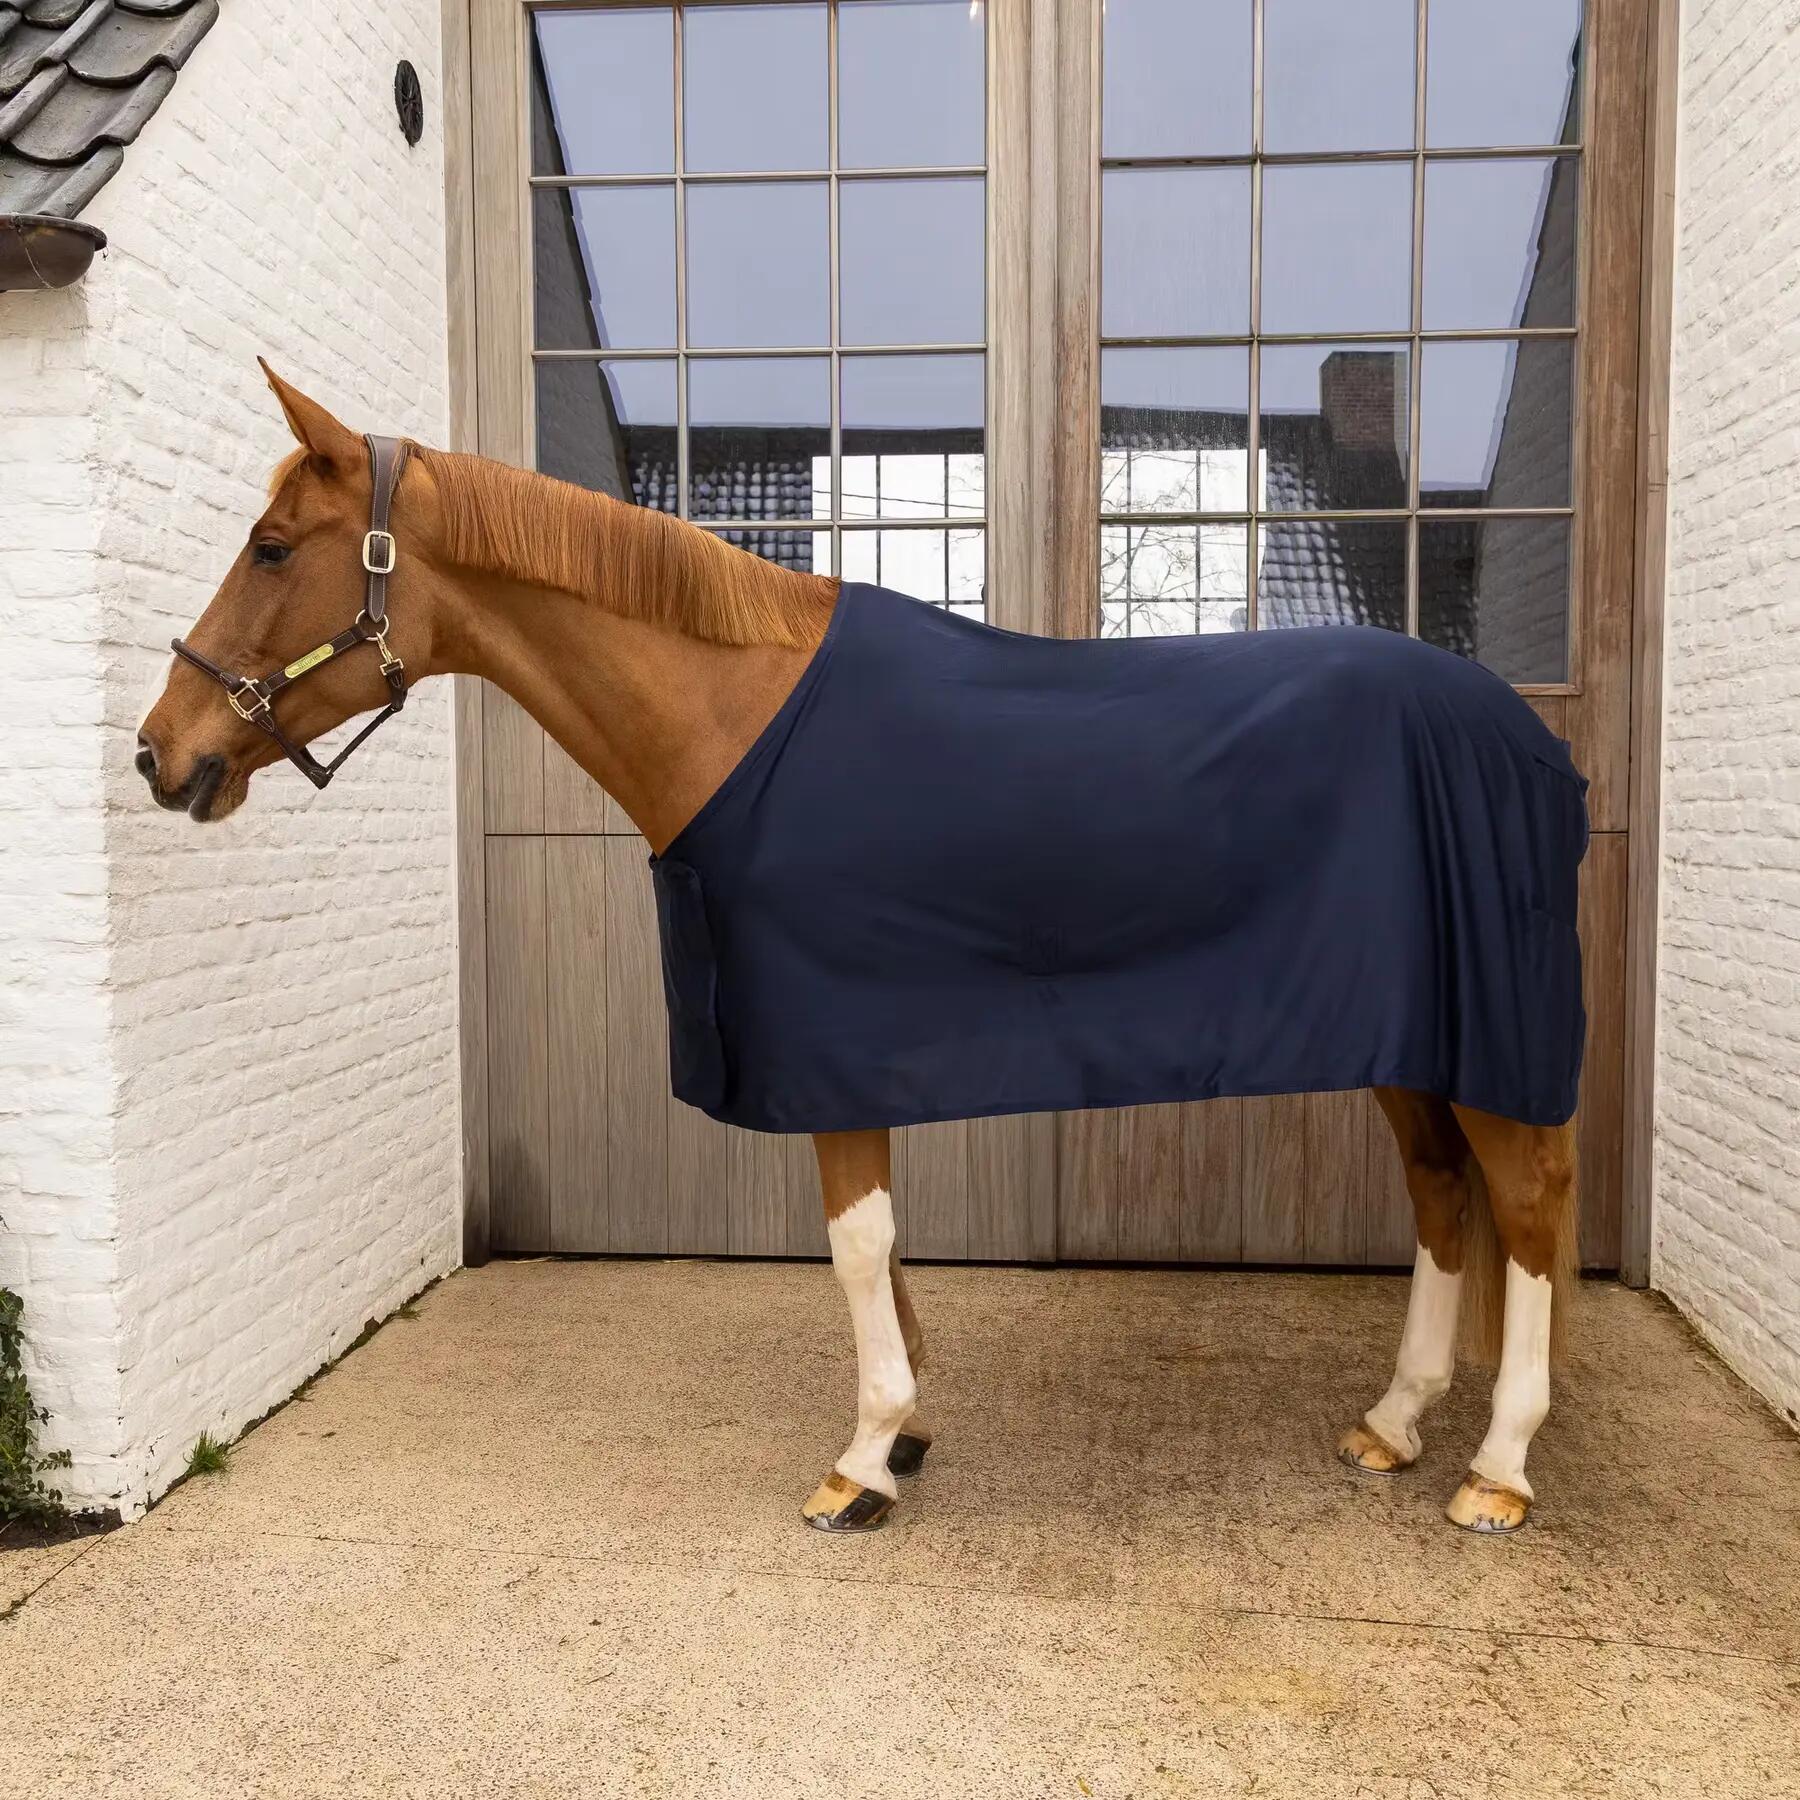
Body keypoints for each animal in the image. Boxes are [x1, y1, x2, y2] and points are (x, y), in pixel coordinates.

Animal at [137, 364, 1582, 1537]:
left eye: (272, 548)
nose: (160, 754)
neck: (740, 717)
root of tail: (1522, 738)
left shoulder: (830, 1046)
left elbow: (851, 1243)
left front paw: (862, 1460)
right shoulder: (849, 1055)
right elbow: (882, 1246)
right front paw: (912, 1431)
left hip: (1492, 1042)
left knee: (1524, 1206)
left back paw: (1498, 1472)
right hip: (1410, 1037)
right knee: (1442, 1199)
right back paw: (1393, 1424)